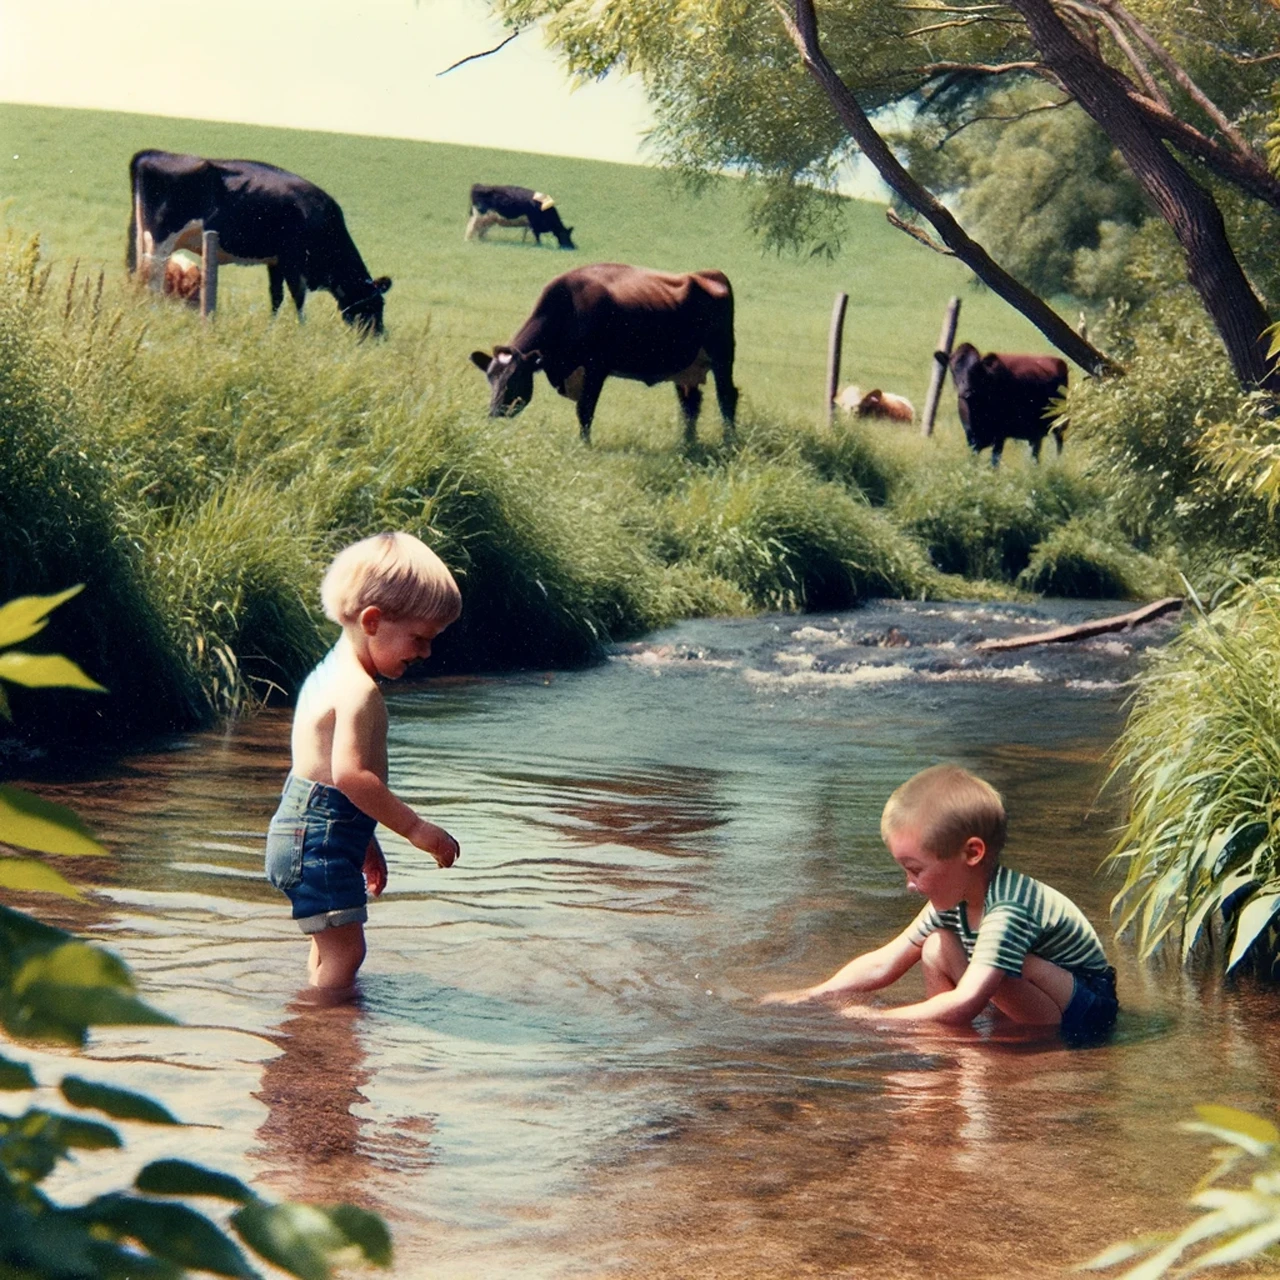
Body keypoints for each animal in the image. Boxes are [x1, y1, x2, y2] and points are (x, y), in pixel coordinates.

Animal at [129, 148, 391, 335]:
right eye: (377, 305)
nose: (380, 336)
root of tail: (152, 153)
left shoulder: (275, 262)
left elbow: (276, 297)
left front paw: (271, 328)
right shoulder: (293, 261)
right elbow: (298, 297)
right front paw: (301, 330)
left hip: (146, 239)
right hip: (161, 241)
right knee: (153, 280)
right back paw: (153, 312)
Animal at [471, 259, 737, 445]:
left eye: (516, 378)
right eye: (490, 378)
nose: (494, 413)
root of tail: (711, 274)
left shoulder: (596, 367)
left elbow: (585, 409)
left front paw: (585, 445)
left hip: (723, 357)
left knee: (726, 397)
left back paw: (729, 442)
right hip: (686, 368)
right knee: (690, 405)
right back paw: (686, 444)